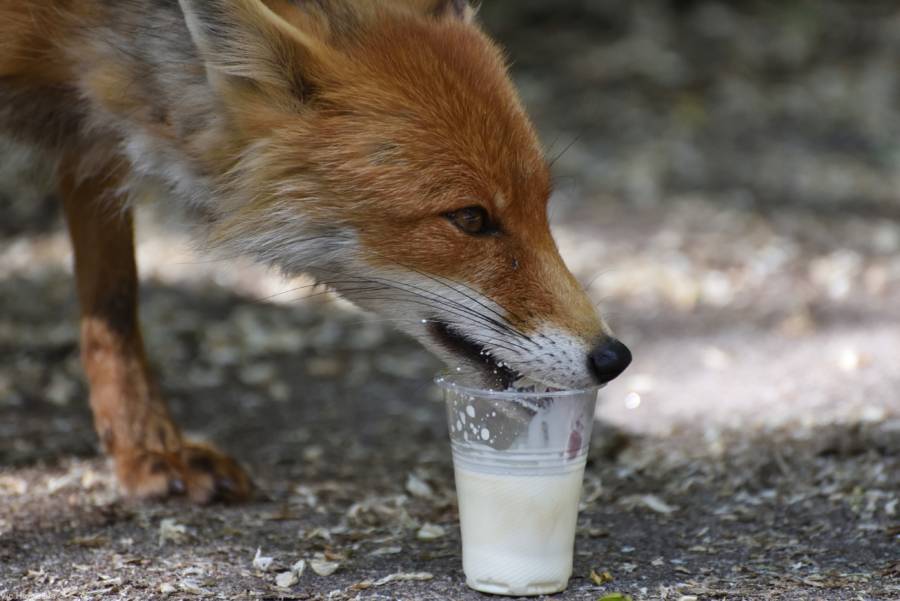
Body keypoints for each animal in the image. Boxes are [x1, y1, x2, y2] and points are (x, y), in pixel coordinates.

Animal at [1, 1, 632, 502]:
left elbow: (113, 302)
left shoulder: (90, 134)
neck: (76, 30)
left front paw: (146, 449)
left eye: (543, 205)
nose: (614, 358)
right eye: (471, 219)